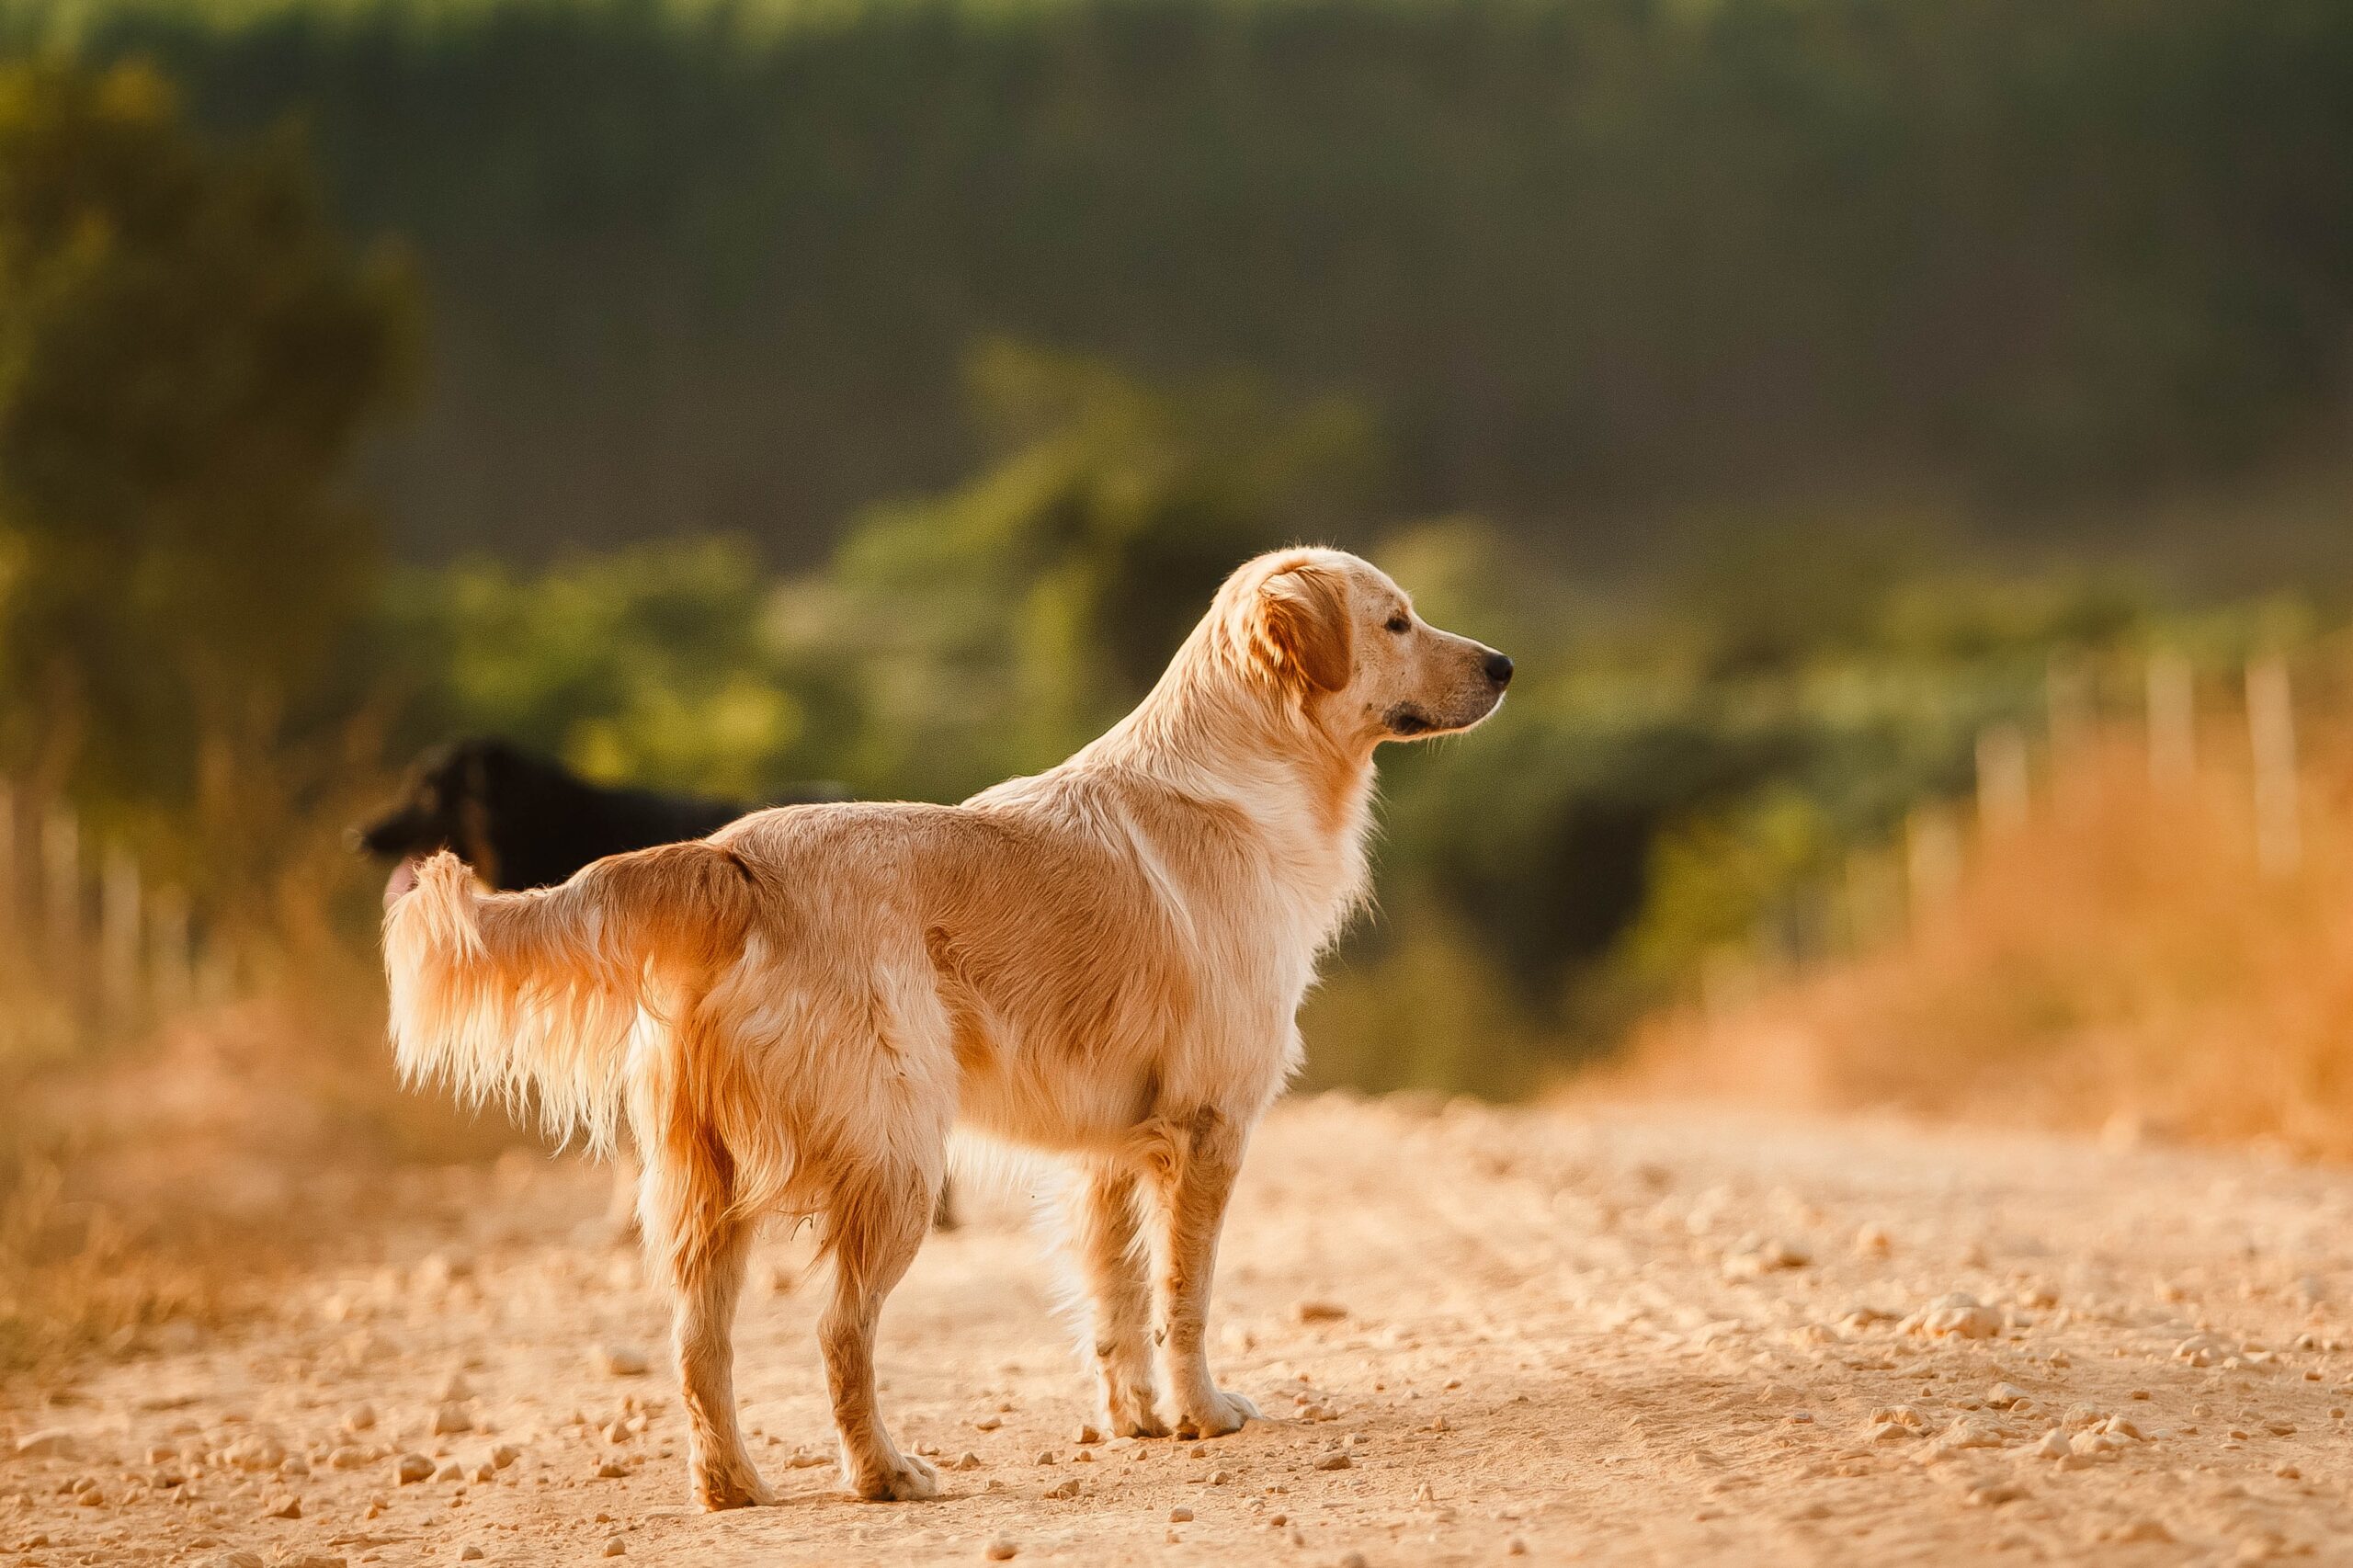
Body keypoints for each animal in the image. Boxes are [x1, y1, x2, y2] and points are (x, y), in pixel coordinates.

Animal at [376, 546, 1515, 1506]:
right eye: (1396, 621)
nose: (1505, 663)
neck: (1246, 771)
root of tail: (731, 856)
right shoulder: (1207, 1125)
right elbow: (1181, 1293)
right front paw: (1200, 1413)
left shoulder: (1110, 1148)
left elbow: (1113, 1298)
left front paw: (1136, 1419)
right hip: (898, 1159)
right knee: (837, 1330)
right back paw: (883, 1470)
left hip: (704, 1184)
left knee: (699, 1344)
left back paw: (732, 1484)